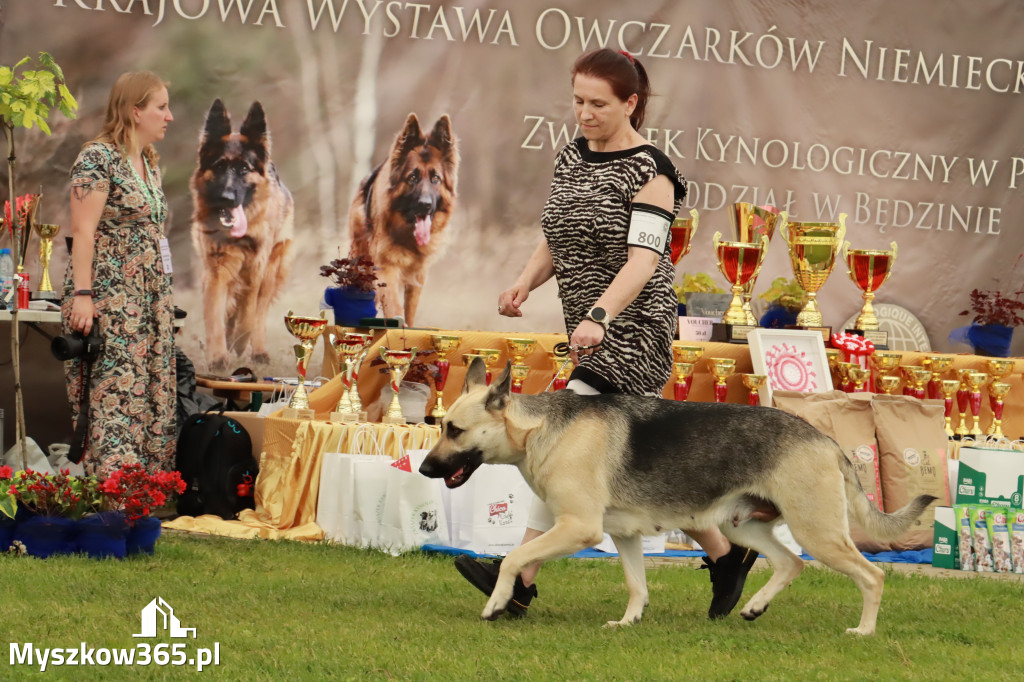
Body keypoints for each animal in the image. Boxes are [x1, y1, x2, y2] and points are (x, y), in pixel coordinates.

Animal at [190, 98, 294, 368]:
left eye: (244, 169)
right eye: (219, 167)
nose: (226, 198)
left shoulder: (256, 267)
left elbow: (248, 312)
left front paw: (239, 342)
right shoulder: (216, 269)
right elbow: (215, 315)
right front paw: (218, 356)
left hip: (271, 272)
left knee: (258, 313)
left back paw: (257, 350)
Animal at [348, 112, 456, 325]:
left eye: (436, 178)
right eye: (412, 178)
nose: (425, 205)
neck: (407, 234)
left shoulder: (418, 276)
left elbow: (409, 313)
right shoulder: (386, 267)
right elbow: (394, 307)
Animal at [417, 358, 937, 634]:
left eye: (454, 430)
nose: (422, 469)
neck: (541, 428)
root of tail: (825, 440)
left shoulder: (578, 529)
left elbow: (512, 558)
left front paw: (497, 602)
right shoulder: (623, 537)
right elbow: (636, 585)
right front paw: (628, 623)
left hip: (819, 532)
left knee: (871, 576)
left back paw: (864, 630)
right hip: (743, 526)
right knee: (790, 563)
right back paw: (752, 605)